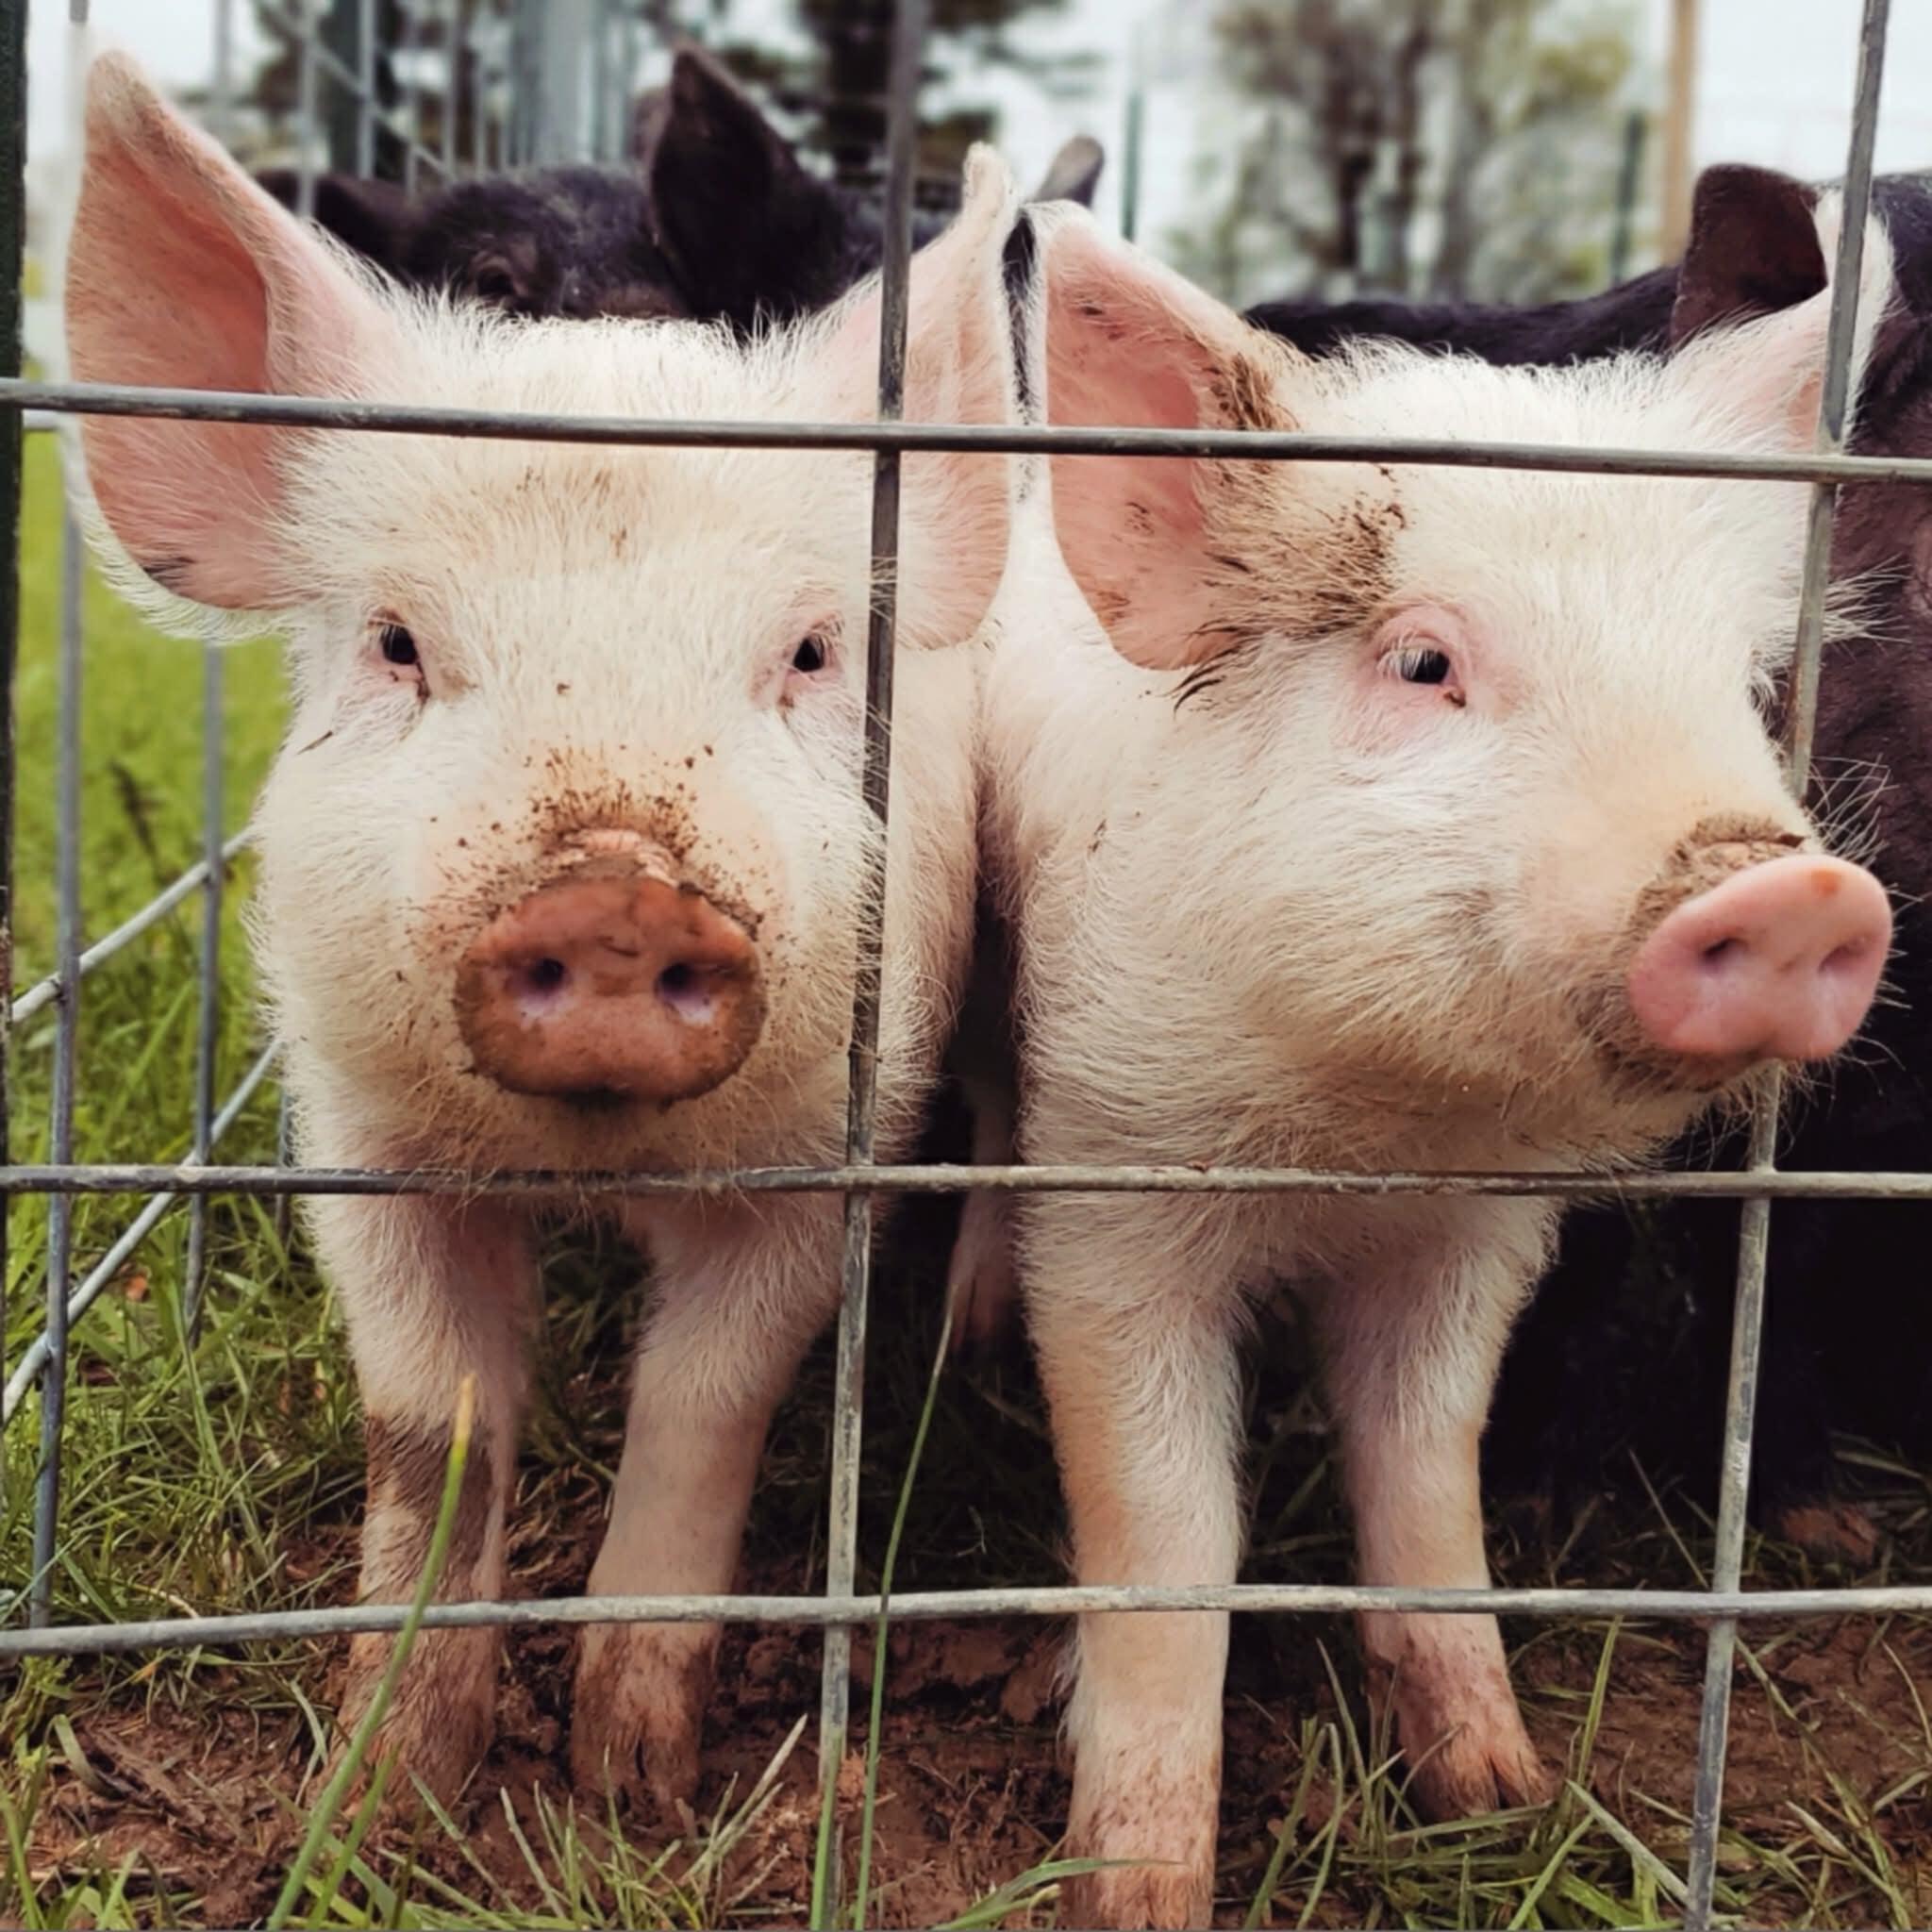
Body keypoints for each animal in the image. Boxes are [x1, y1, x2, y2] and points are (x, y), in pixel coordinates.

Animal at [65, 50, 1020, 1812]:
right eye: (394, 642)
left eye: (806, 652)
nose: (619, 894)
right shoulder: (361, 1142)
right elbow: (425, 1422)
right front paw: (389, 1789)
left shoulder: (815, 1152)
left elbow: (703, 1405)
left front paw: (630, 1778)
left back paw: (977, 1331)